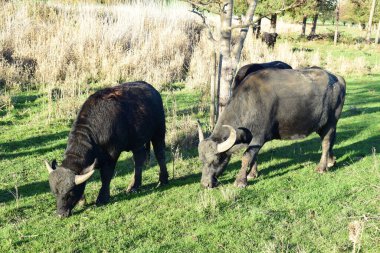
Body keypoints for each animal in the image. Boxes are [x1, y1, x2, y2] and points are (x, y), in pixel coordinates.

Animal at [45, 82, 168, 216]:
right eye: (55, 192)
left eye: (70, 193)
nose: (60, 214)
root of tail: (152, 89)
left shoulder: (112, 155)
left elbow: (106, 176)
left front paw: (102, 197)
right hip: (137, 142)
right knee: (138, 159)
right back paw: (134, 186)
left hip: (159, 131)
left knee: (160, 153)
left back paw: (163, 180)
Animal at [199, 67, 348, 188]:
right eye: (202, 160)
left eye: (216, 160)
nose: (205, 184)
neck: (248, 102)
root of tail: (337, 78)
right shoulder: (252, 139)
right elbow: (254, 156)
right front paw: (252, 174)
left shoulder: (258, 138)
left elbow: (247, 156)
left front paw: (240, 181)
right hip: (323, 125)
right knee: (330, 140)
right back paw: (331, 161)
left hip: (330, 122)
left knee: (326, 142)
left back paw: (321, 167)